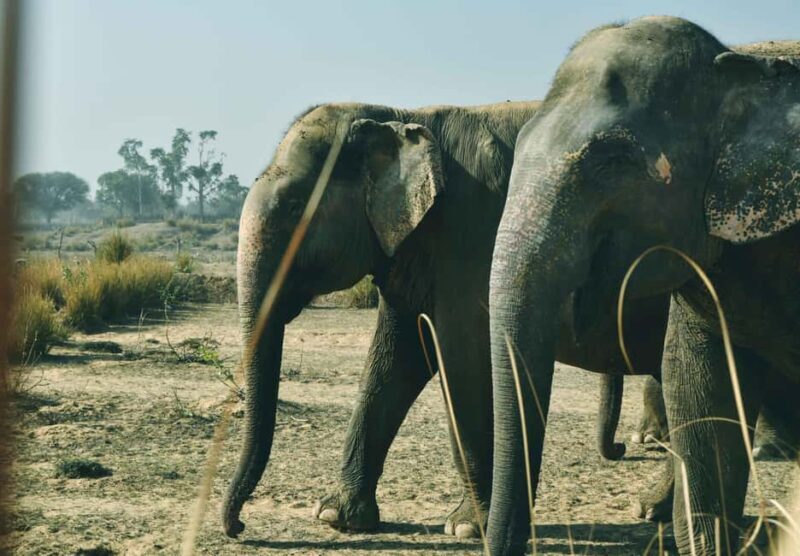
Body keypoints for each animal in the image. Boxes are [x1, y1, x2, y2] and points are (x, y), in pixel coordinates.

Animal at [219, 98, 677, 540]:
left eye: (297, 207)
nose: (239, 528)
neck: (398, 116)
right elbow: (393, 363)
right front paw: (336, 517)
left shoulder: (472, 233)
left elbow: (461, 359)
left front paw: (467, 527)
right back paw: (655, 509)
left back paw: (652, 509)